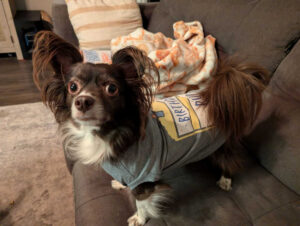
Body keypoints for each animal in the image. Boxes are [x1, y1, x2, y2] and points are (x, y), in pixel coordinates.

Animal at [31, 30, 268, 225]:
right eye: (73, 87)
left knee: (229, 159)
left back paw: (225, 180)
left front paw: (139, 218)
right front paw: (121, 185)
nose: (82, 101)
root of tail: (219, 99)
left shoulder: (144, 179)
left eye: (111, 89)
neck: (110, 133)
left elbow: (141, 202)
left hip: (223, 145)